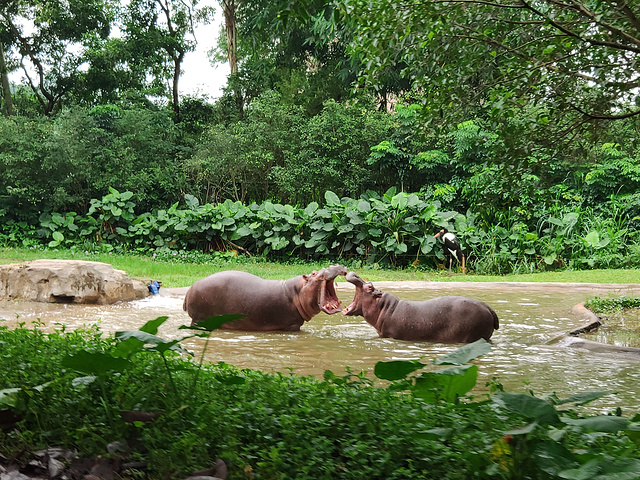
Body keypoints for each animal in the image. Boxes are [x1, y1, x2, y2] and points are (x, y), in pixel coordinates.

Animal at [182, 266, 348, 330]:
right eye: (314, 273)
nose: (334, 265)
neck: (297, 292)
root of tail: (189, 289)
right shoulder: (292, 325)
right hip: (199, 319)